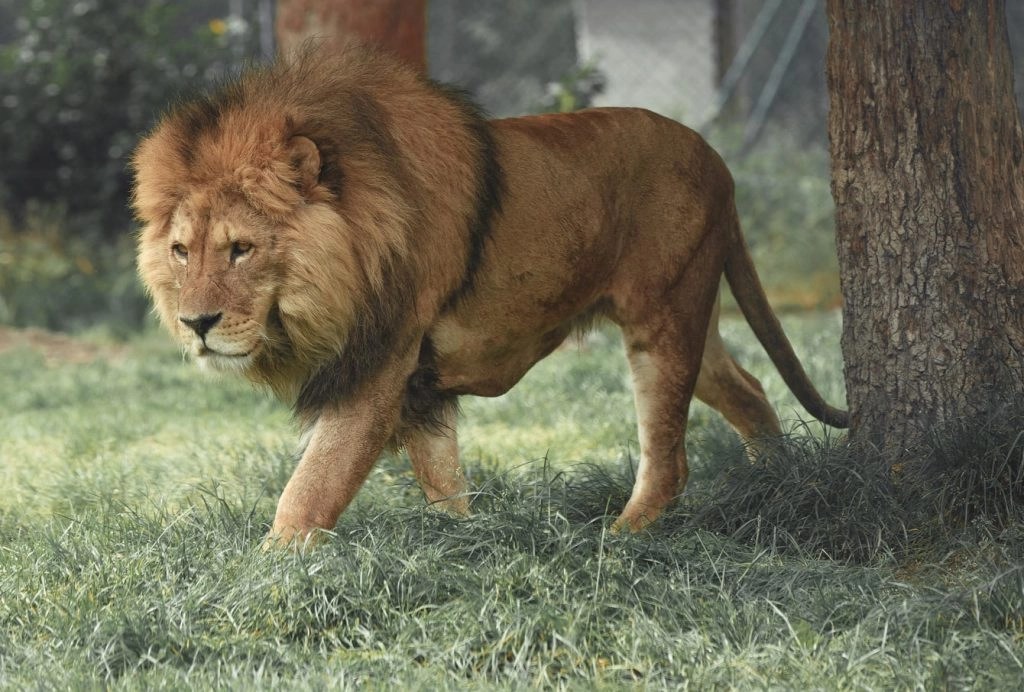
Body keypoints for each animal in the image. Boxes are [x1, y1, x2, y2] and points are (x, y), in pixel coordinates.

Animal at [133, 44, 847, 544]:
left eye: (240, 249)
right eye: (181, 251)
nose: (196, 324)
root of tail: (717, 160)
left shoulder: (380, 363)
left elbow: (312, 487)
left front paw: (266, 573)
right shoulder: (417, 384)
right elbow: (442, 481)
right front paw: (466, 543)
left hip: (663, 316)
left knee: (669, 459)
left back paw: (617, 542)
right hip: (690, 310)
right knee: (748, 388)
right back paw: (776, 483)